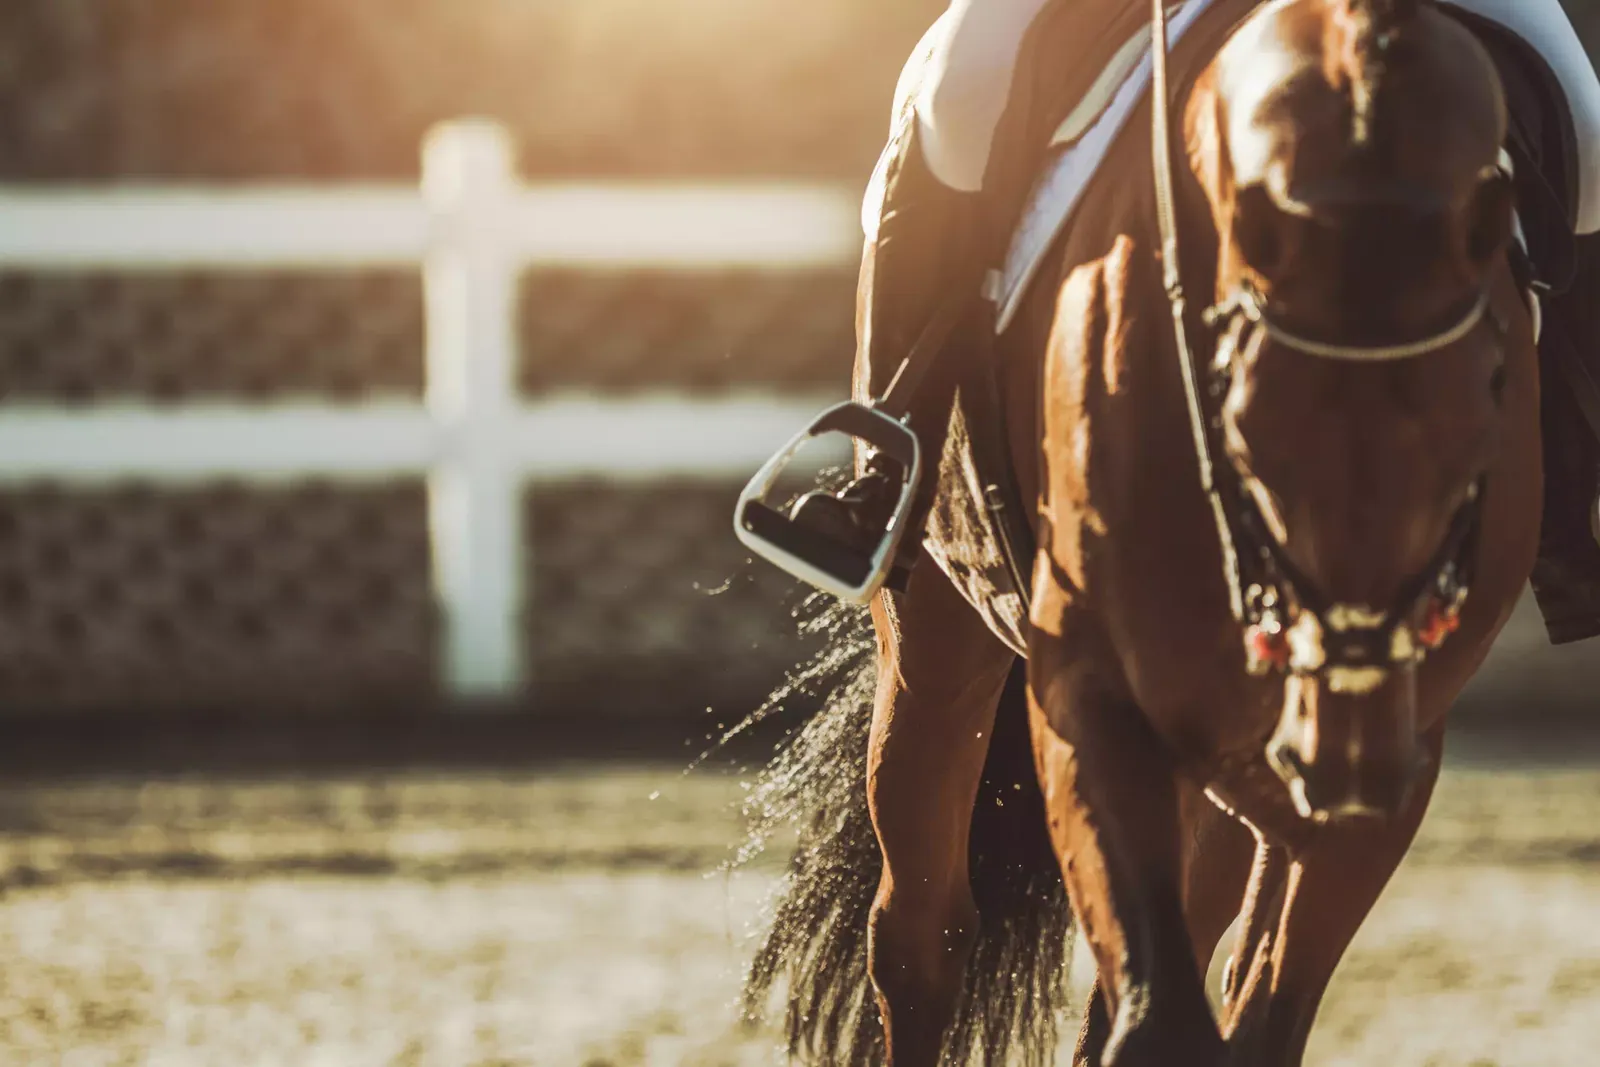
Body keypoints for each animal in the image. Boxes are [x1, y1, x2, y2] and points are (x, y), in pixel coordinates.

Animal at [740, 0, 1542, 1064]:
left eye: (1488, 409)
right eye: (1240, 422)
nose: (1340, 756)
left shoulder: (1390, 764)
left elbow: (1248, 1015)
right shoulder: (1093, 691)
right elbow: (1160, 1017)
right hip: (938, 641)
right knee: (920, 937)